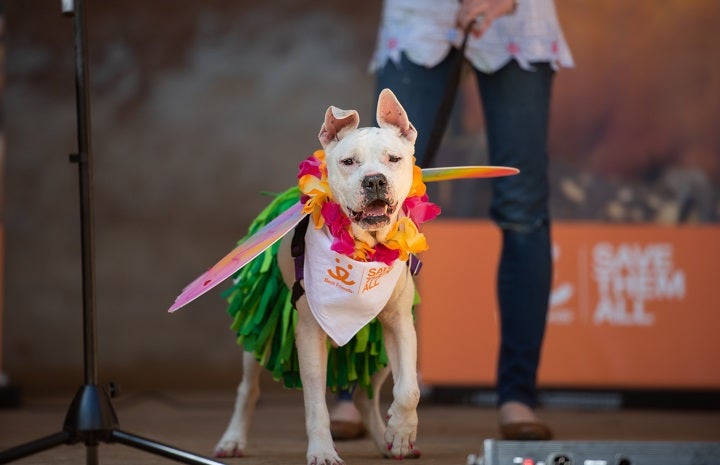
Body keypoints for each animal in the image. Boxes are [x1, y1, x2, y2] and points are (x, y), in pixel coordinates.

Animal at [217, 89, 424, 464]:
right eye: (348, 162)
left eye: (394, 159)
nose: (375, 180)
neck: (364, 250)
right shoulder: (309, 334)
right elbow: (316, 406)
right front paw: (323, 451)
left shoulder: (400, 323)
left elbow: (409, 390)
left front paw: (401, 433)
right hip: (260, 329)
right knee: (247, 389)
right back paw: (233, 440)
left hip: (376, 348)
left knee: (364, 396)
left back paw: (384, 440)